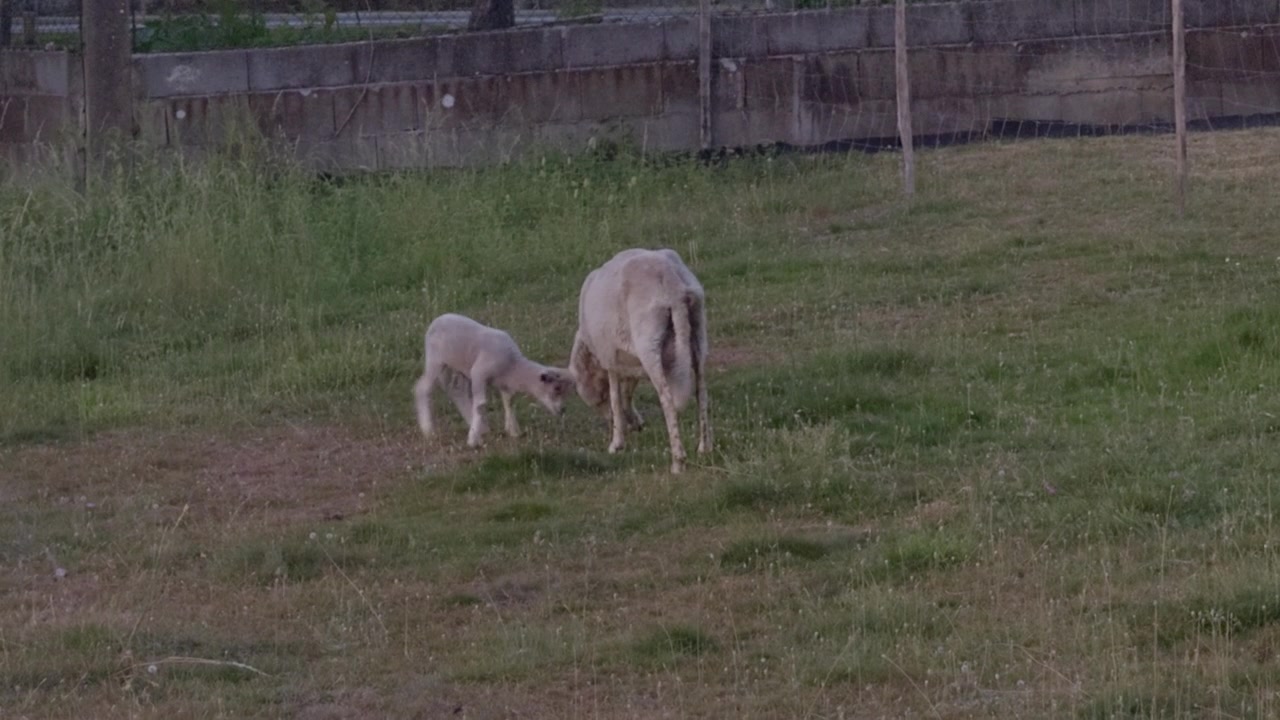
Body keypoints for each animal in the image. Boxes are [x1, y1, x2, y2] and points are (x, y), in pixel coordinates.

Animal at [414, 313, 575, 447]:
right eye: (556, 388)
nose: (563, 410)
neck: (514, 366)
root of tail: (437, 319)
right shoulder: (479, 373)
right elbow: (480, 405)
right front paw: (473, 440)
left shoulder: (505, 383)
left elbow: (509, 402)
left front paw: (513, 431)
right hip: (436, 361)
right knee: (423, 388)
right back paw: (428, 429)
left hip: (458, 366)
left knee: (456, 390)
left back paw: (478, 425)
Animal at [570, 248, 711, 474]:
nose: (607, 419)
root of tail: (672, 284)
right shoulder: (631, 362)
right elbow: (627, 392)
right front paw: (634, 422)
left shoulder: (610, 358)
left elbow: (616, 397)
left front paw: (617, 442)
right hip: (698, 333)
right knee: (702, 392)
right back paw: (704, 448)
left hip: (649, 343)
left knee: (667, 399)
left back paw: (678, 461)